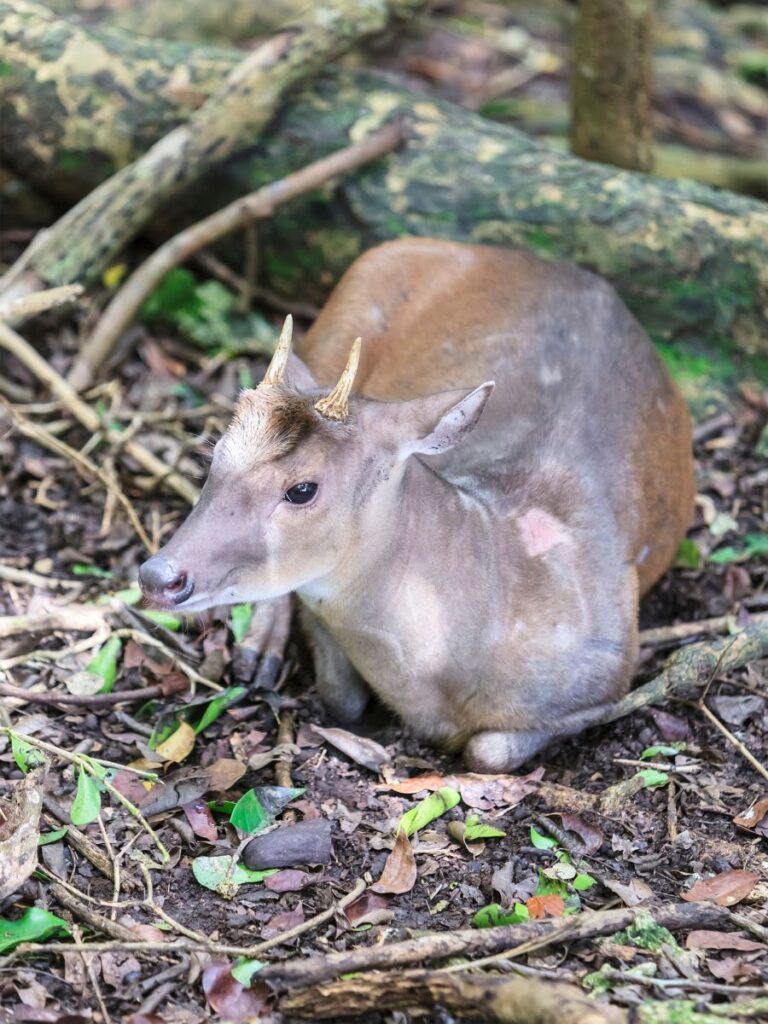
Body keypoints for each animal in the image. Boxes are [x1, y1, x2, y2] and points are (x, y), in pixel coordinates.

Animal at [139, 238, 694, 772]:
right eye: (214, 457)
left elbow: (487, 750)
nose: (158, 576)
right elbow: (340, 696)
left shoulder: (610, 677)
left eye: (302, 489)